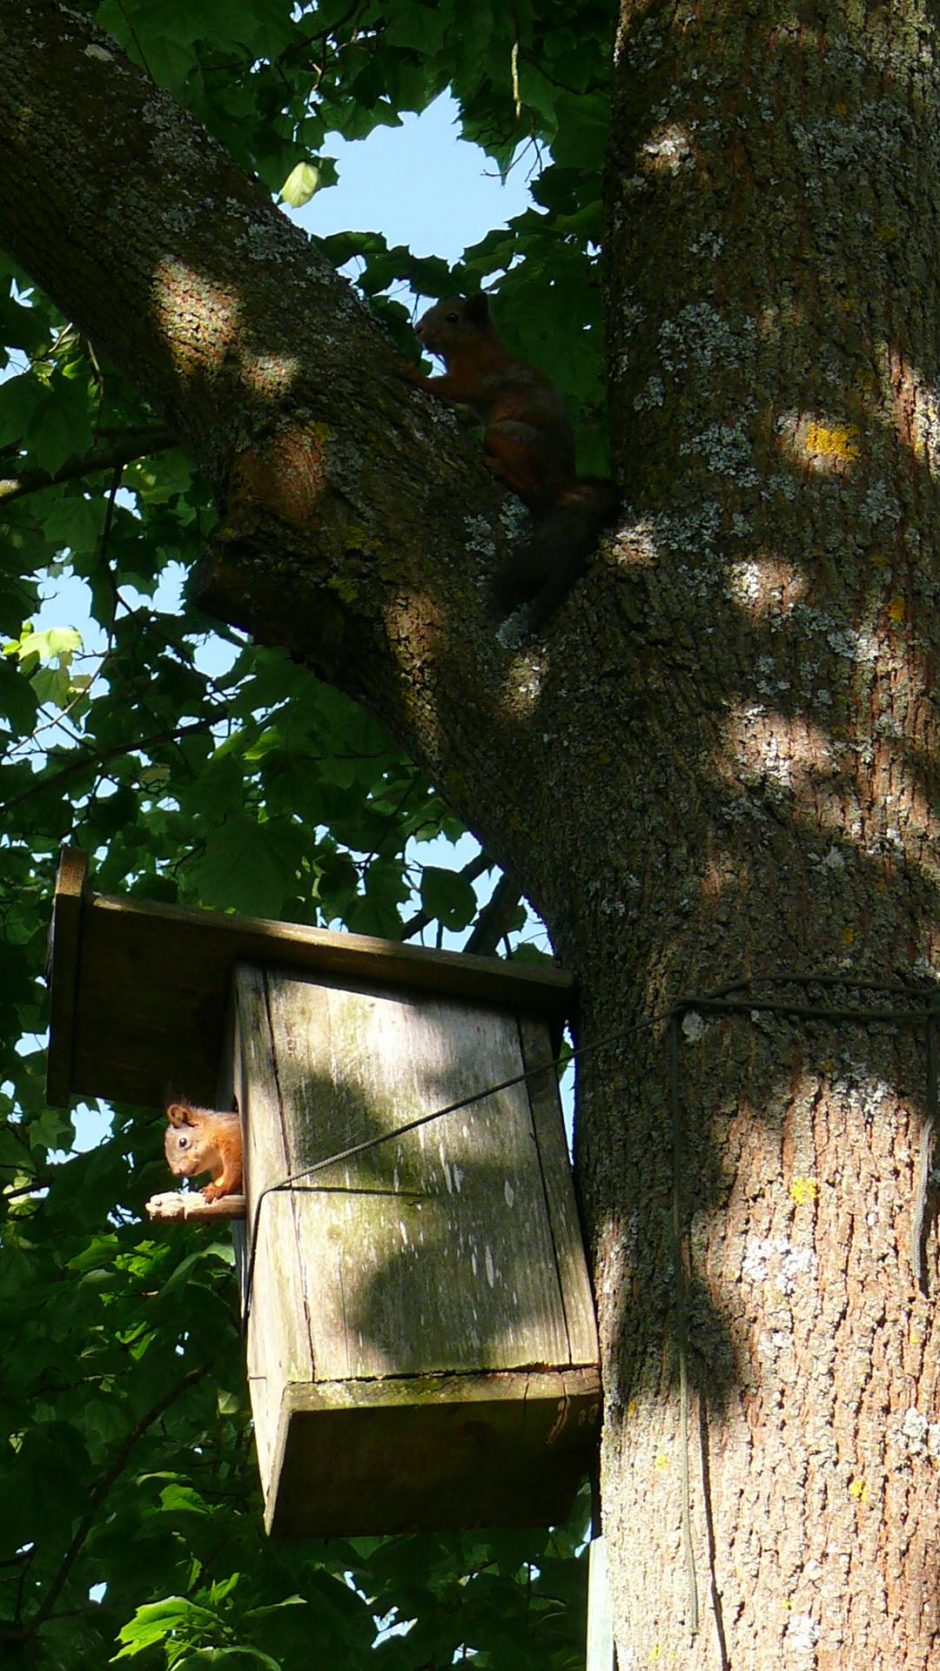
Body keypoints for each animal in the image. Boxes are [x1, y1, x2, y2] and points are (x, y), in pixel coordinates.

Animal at [404, 294, 617, 628]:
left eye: (453, 318)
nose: (419, 329)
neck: (474, 347)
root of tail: (563, 480)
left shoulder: (478, 377)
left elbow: (449, 387)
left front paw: (414, 374)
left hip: (508, 436)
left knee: (533, 488)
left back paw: (501, 469)